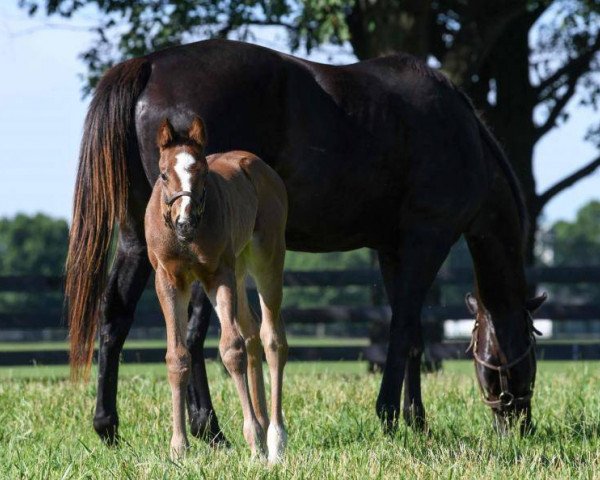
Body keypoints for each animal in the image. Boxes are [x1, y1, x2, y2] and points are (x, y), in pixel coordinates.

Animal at [143, 116, 288, 462]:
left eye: (203, 171)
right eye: (164, 173)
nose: (185, 222)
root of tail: (259, 165)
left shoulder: (218, 275)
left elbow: (231, 350)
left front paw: (255, 441)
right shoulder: (168, 280)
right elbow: (177, 356)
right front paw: (178, 448)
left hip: (267, 259)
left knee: (272, 337)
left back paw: (274, 440)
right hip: (239, 265)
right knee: (252, 331)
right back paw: (264, 422)